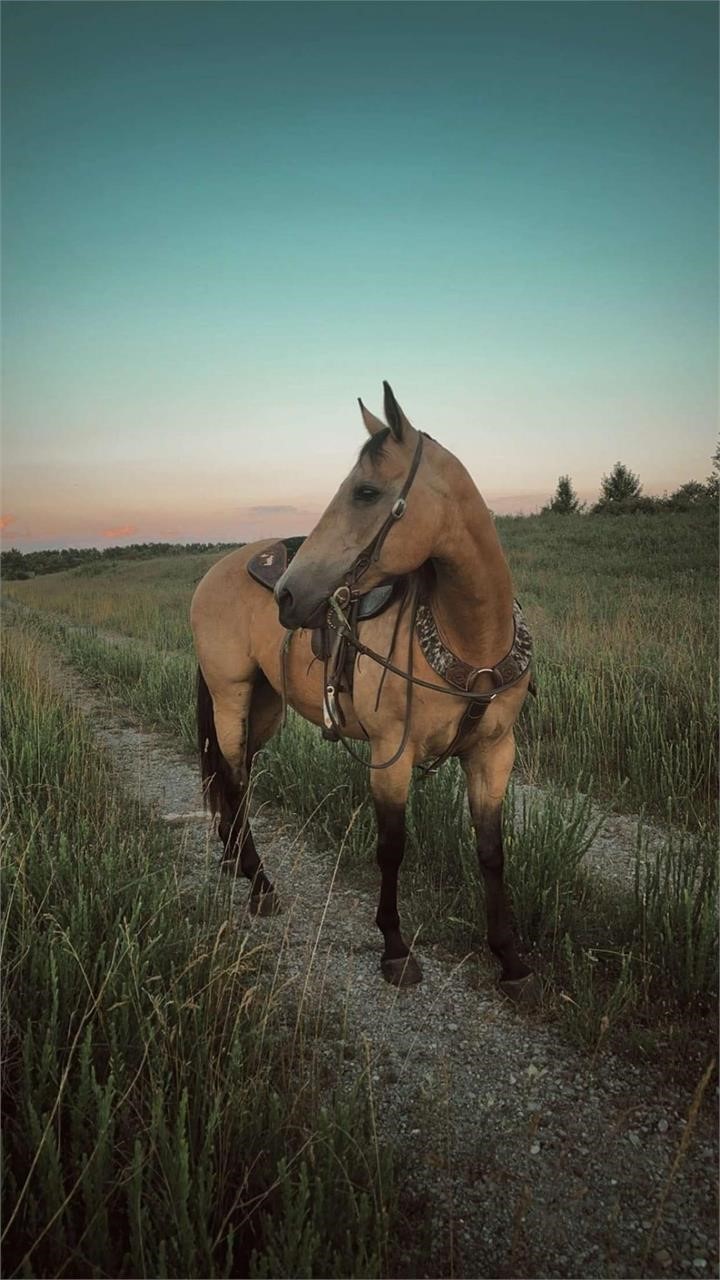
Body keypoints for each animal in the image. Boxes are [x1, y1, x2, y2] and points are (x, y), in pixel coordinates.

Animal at [189, 378, 532, 998]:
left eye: (366, 491)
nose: (289, 595)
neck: (468, 640)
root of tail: (213, 573)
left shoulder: (494, 754)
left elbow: (492, 851)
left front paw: (510, 958)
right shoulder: (390, 754)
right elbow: (392, 848)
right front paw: (395, 948)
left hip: (264, 705)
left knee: (237, 775)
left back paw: (234, 860)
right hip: (230, 694)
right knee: (233, 776)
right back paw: (259, 884)